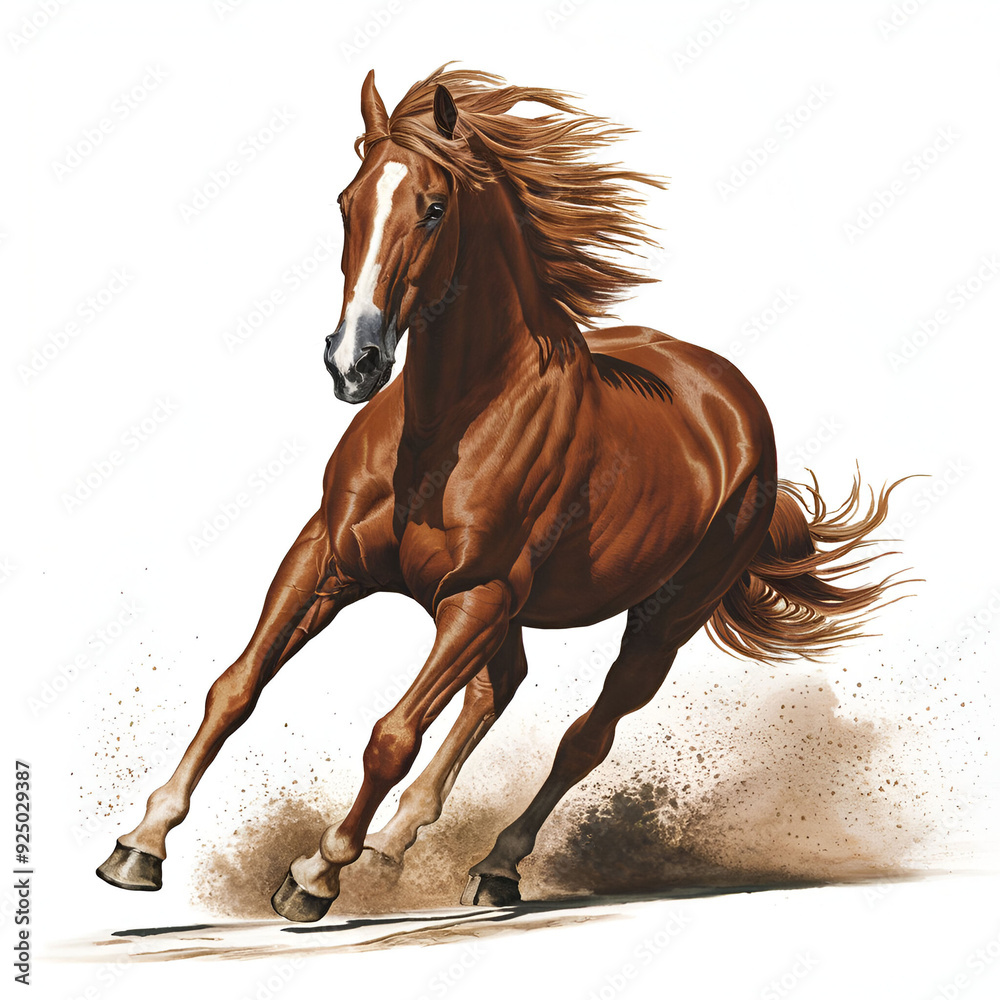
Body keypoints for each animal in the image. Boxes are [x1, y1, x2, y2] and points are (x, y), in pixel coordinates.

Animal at [97, 65, 905, 922]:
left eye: (433, 208)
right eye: (347, 201)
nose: (354, 363)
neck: (445, 428)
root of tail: (732, 400)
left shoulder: (478, 594)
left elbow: (391, 736)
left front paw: (316, 873)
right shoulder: (325, 557)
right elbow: (236, 688)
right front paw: (139, 845)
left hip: (662, 618)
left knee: (584, 735)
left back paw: (492, 866)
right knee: (498, 688)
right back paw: (394, 847)